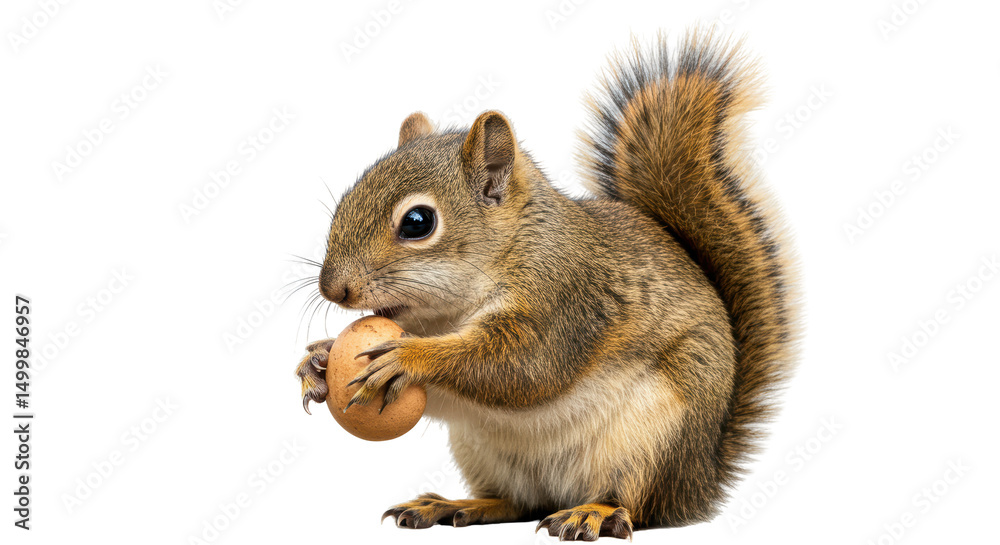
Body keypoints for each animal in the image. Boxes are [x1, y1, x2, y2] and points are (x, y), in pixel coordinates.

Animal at [295, 30, 798, 541]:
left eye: (418, 222)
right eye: (346, 198)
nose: (333, 289)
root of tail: (701, 478)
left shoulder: (565, 300)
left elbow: (522, 366)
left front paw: (408, 357)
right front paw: (319, 358)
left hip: (653, 441)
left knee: (637, 504)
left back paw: (594, 512)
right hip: (483, 451)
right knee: (519, 503)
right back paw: (458, 504)